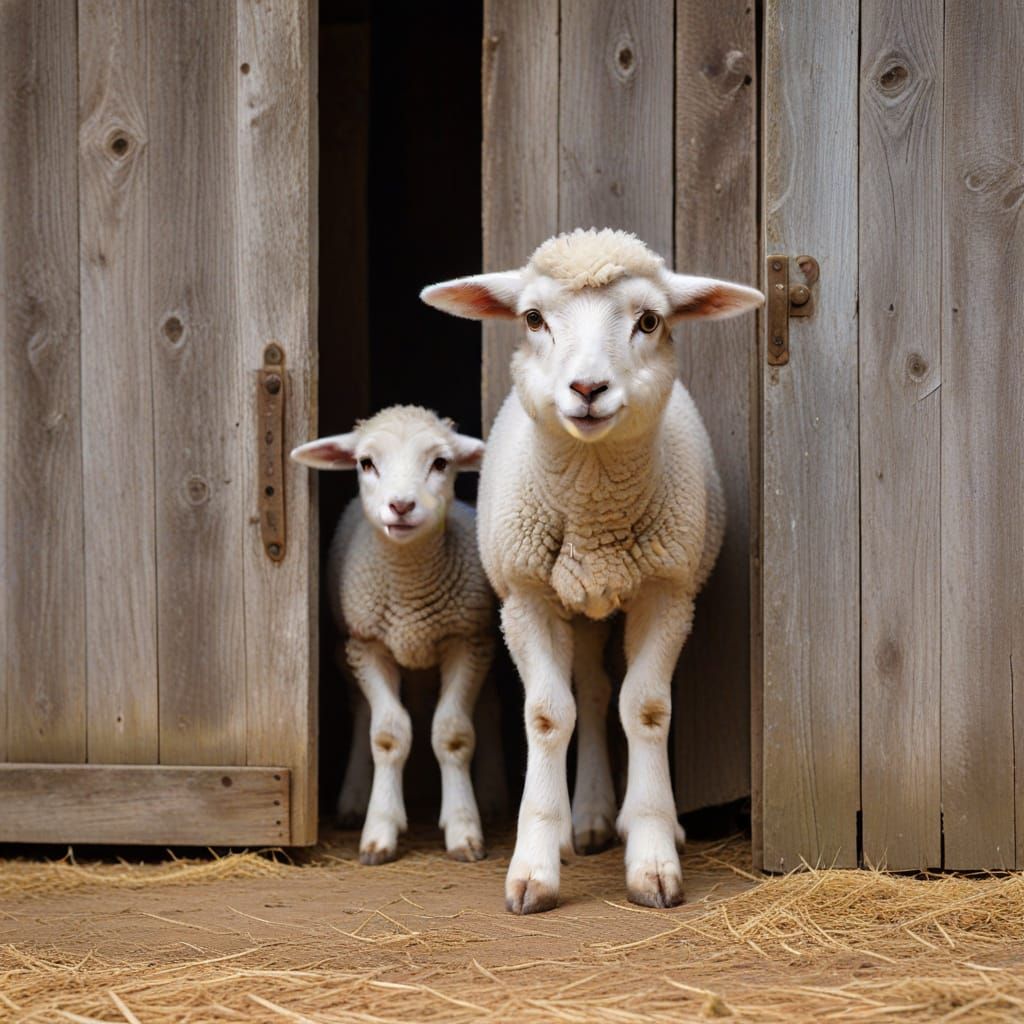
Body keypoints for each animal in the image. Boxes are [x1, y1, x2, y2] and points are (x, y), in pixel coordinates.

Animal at [291, 405, 497, 864]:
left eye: (441, 463)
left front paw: (463, 828)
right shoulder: (368, 646)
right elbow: (387, 735)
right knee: (363, 711)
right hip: (346, 650)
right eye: (366, 463)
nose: (401, 505)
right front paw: (379, 831)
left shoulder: (466, 642)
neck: (408, 585)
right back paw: (353, 800)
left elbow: (453, 733)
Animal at [420, 229, 763, 913]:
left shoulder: (667, 594)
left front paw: (653, 856)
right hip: (575, 605)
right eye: (532, 318)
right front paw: (534, 866)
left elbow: (647, 709)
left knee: (614, 693)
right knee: (592, 689)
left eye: (649, 320)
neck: (594, 508)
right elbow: (550, 715)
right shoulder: (525, 599)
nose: (587, 389)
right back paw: (586, 819)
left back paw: (624, 819)